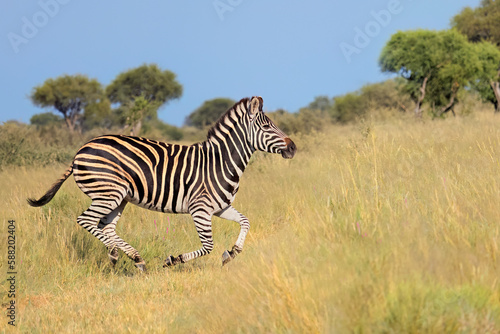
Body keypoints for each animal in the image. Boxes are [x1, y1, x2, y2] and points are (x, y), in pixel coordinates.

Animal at [27, 96, 296, 272]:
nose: (293, 147)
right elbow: (208, 246)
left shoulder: (220, 207)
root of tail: (80, 150)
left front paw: (232, 252)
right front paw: (174, 260)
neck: (220, 162)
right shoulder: (200, 209)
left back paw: (133, 258)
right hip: (109, 193)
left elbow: (245, 221)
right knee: (86, 220)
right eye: (266, 126)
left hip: (118, 197)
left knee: (106, 227)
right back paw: (116, 253)